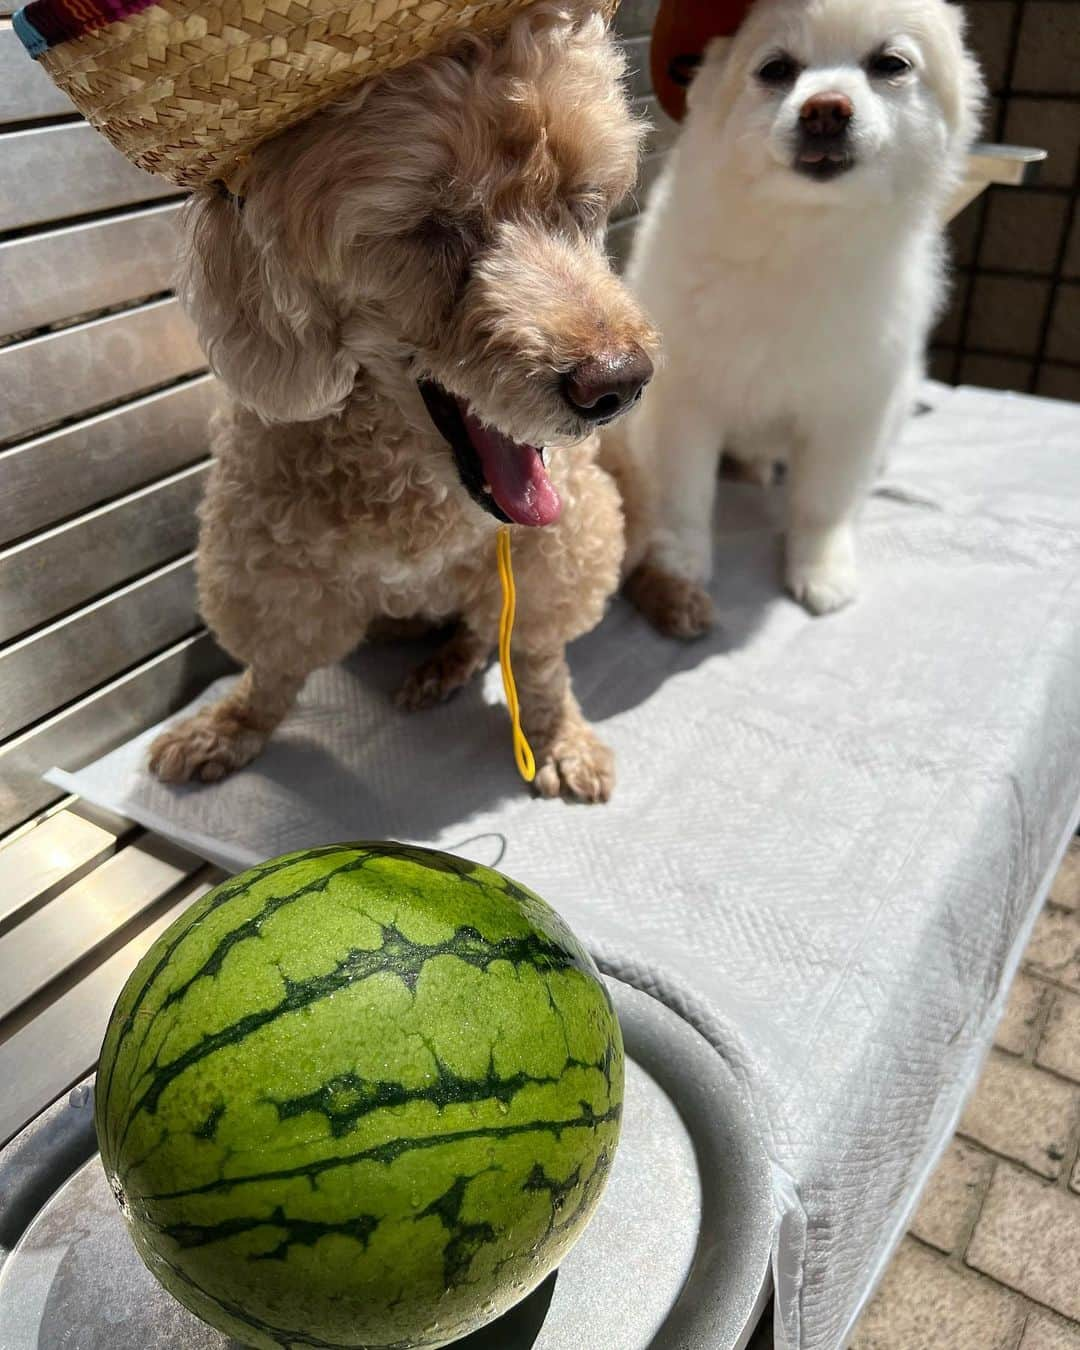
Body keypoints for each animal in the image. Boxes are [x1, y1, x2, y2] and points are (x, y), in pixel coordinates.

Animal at [615, 0, 977, 631]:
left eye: (891, 64)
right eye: (776, 69)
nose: (825, 109)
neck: (800, 238)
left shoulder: (849, 408)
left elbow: (823, 502)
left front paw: (821, 567)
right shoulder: (685, 400)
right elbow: (684, 494)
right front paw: (677, 562)